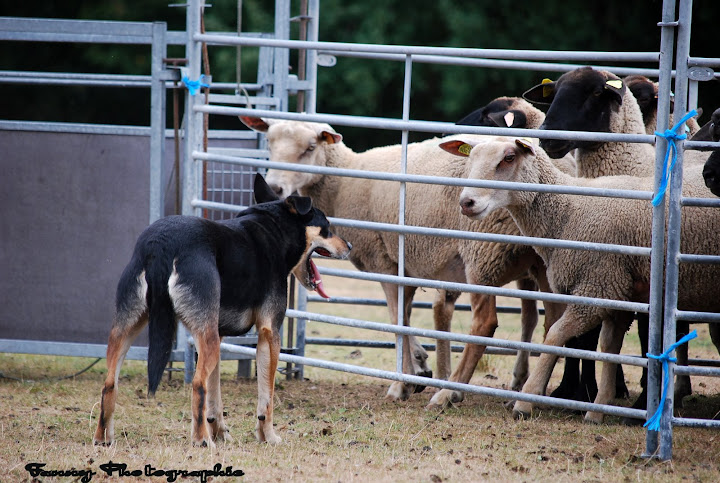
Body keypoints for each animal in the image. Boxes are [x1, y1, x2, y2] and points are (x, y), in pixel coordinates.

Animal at [93, 173, 352, 446]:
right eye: (327, 226)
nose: (350, 246)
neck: (275, 229)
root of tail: (161, 245)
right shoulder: (269, 334)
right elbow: (266, 398)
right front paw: (267, 436)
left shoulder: (219, 334)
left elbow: (215, 394)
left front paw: (219, 431)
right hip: (203, 337)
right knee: (197, 384)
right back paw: (200, 440)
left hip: (130, 328)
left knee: (109, 383)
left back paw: (103, 438)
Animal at [442, 136, 720, 424]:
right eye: (471, 158)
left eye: (508, 158)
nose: (466, 202)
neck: (567, 211)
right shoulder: (617, 291)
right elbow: (609, 345)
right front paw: (599, 407)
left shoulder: (597, 286)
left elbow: (556, 335)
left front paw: (525, 400)